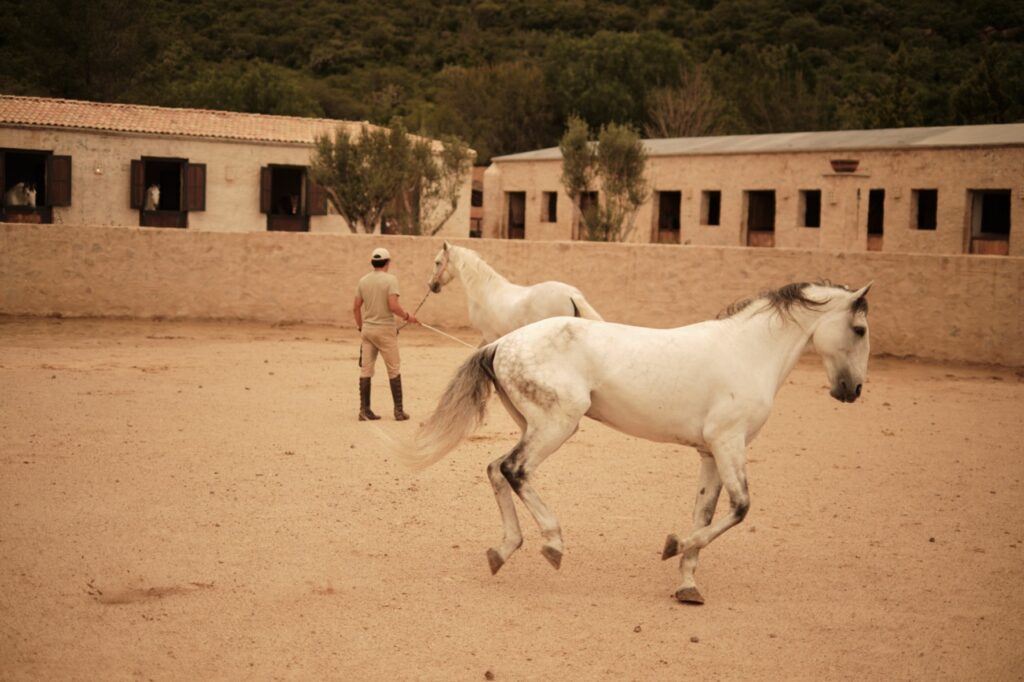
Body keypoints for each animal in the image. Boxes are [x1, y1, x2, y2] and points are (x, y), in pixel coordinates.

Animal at [403, 281, 872, 604]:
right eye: (860, 329)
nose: (852, 390)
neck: (747, 352)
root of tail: (502, 343)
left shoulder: (710, 453)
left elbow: (704, 514)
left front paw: (687, 586)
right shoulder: (729, 443)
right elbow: (739, 509)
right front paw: (672, 546)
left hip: (533, 425)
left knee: (495, 470)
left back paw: (503, 551)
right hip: (557, 425)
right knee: (513, 470)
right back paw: (552, 544)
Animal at [427, 241, 604, 344]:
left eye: (437, 262)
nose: (432, 285)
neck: (483, 292)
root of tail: (570, 294)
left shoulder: (489, 335)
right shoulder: (487, 336)